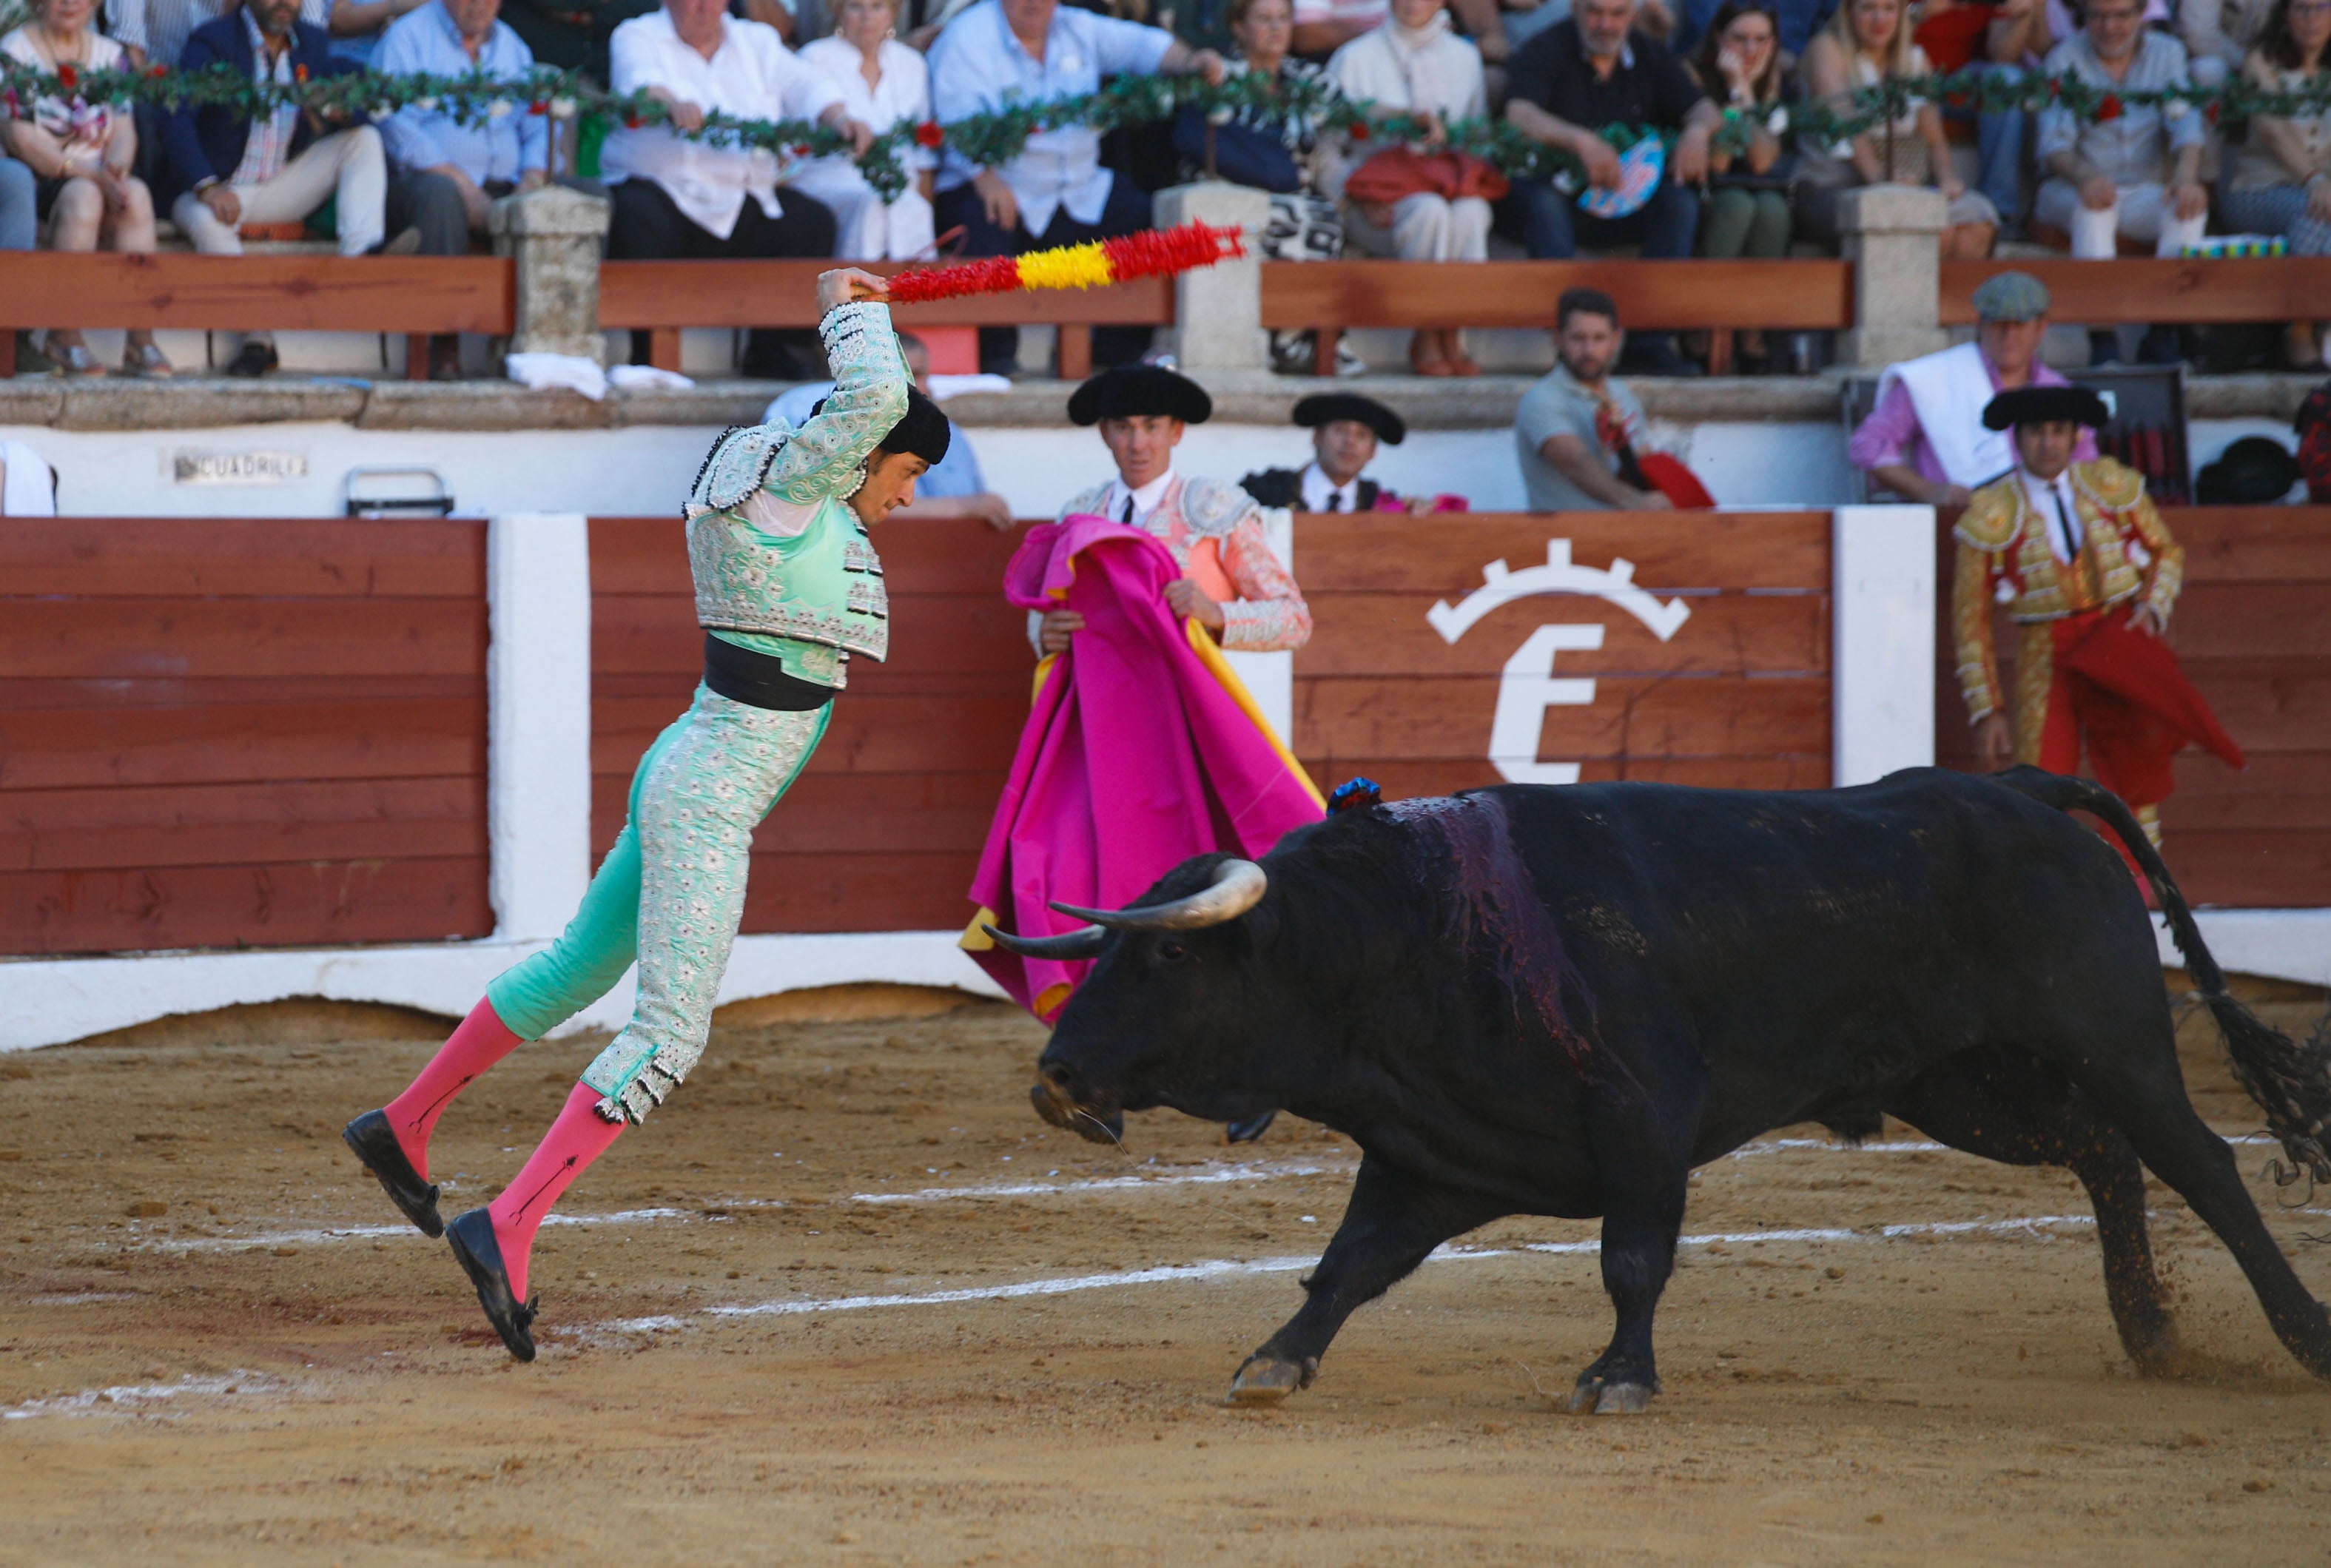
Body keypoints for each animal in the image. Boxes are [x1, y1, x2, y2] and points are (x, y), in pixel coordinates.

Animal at [992, 764, 2331, 1416]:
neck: (1411, 932)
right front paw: (1273, 1362)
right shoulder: (1432, 1147)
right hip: (1960, 1085)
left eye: (1166, 956)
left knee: (2199, 1160)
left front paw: (1618, 1378)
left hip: (2110, 1033)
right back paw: (2150, 1331)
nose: (1055, 1078)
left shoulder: (1642, 1121)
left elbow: (1631, 1257)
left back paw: (2300, 1331)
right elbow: (1348, 1264)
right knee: (2104, 1152)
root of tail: (2019, 789)